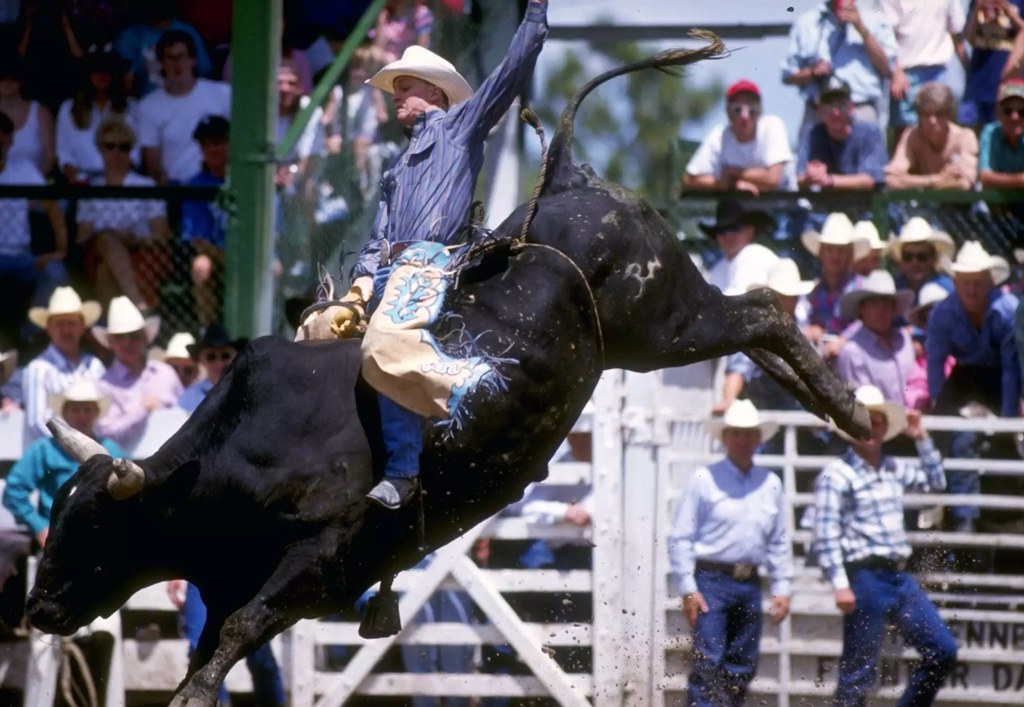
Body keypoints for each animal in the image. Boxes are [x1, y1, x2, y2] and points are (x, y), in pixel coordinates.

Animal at [27, 35, 870, 706]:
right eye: (55, 512)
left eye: (96, 522)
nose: (34, 611)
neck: (240, 456)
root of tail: (569, 176)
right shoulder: (232, 571)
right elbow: (216, 639)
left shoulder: (321, 558)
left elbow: (238, 629)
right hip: (657, 332)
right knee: (755, 327)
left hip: (665, 319)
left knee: (762, 309)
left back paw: (859, 413)